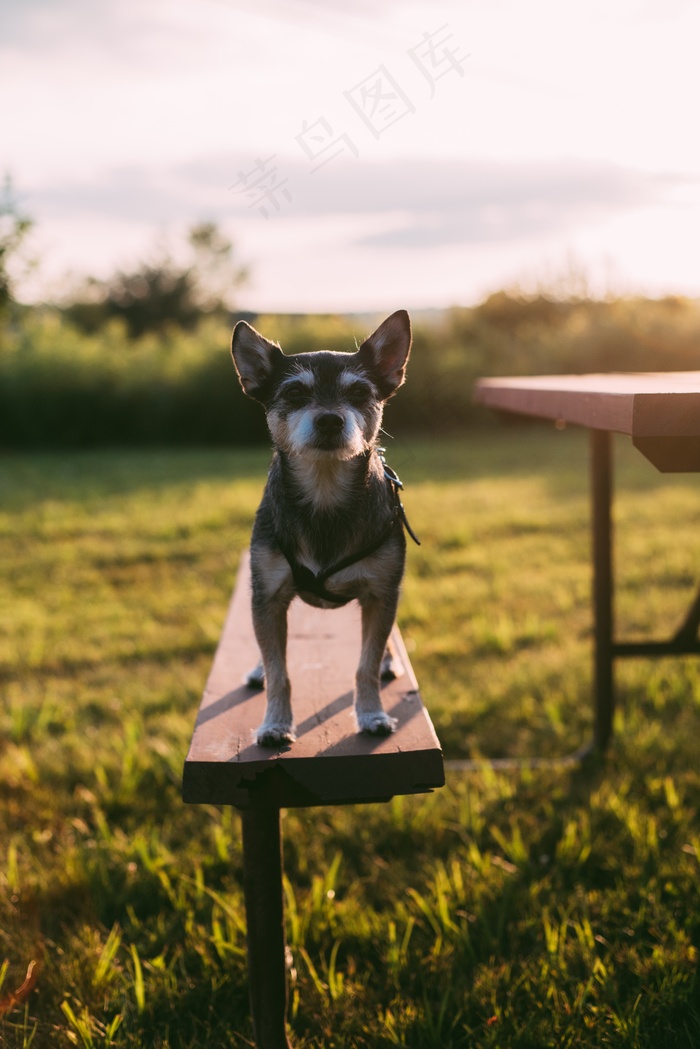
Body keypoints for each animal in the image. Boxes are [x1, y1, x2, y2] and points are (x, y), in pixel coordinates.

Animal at [229, 308, 415, 746]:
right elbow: (279, 671)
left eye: (360, 394)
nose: (330, 420)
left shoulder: (381, 594)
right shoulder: (268, 595)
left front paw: (371, 714)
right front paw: (275, 723)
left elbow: (365, 665)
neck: (325, 494)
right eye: (295, 394)